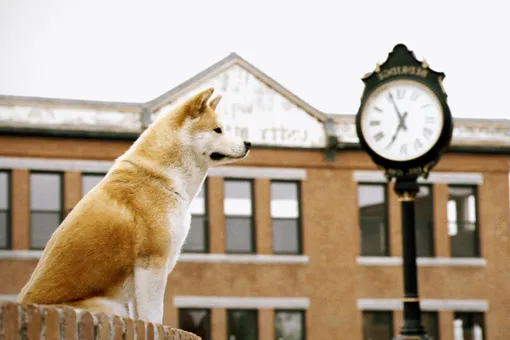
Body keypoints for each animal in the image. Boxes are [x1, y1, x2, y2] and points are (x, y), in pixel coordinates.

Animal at [17, 87, 251, 324]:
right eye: (218, 130)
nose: (248, 143)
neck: (161, 178)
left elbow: (145, 319)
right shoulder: (151, 263)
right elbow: (154, 318)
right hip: (112, 306)